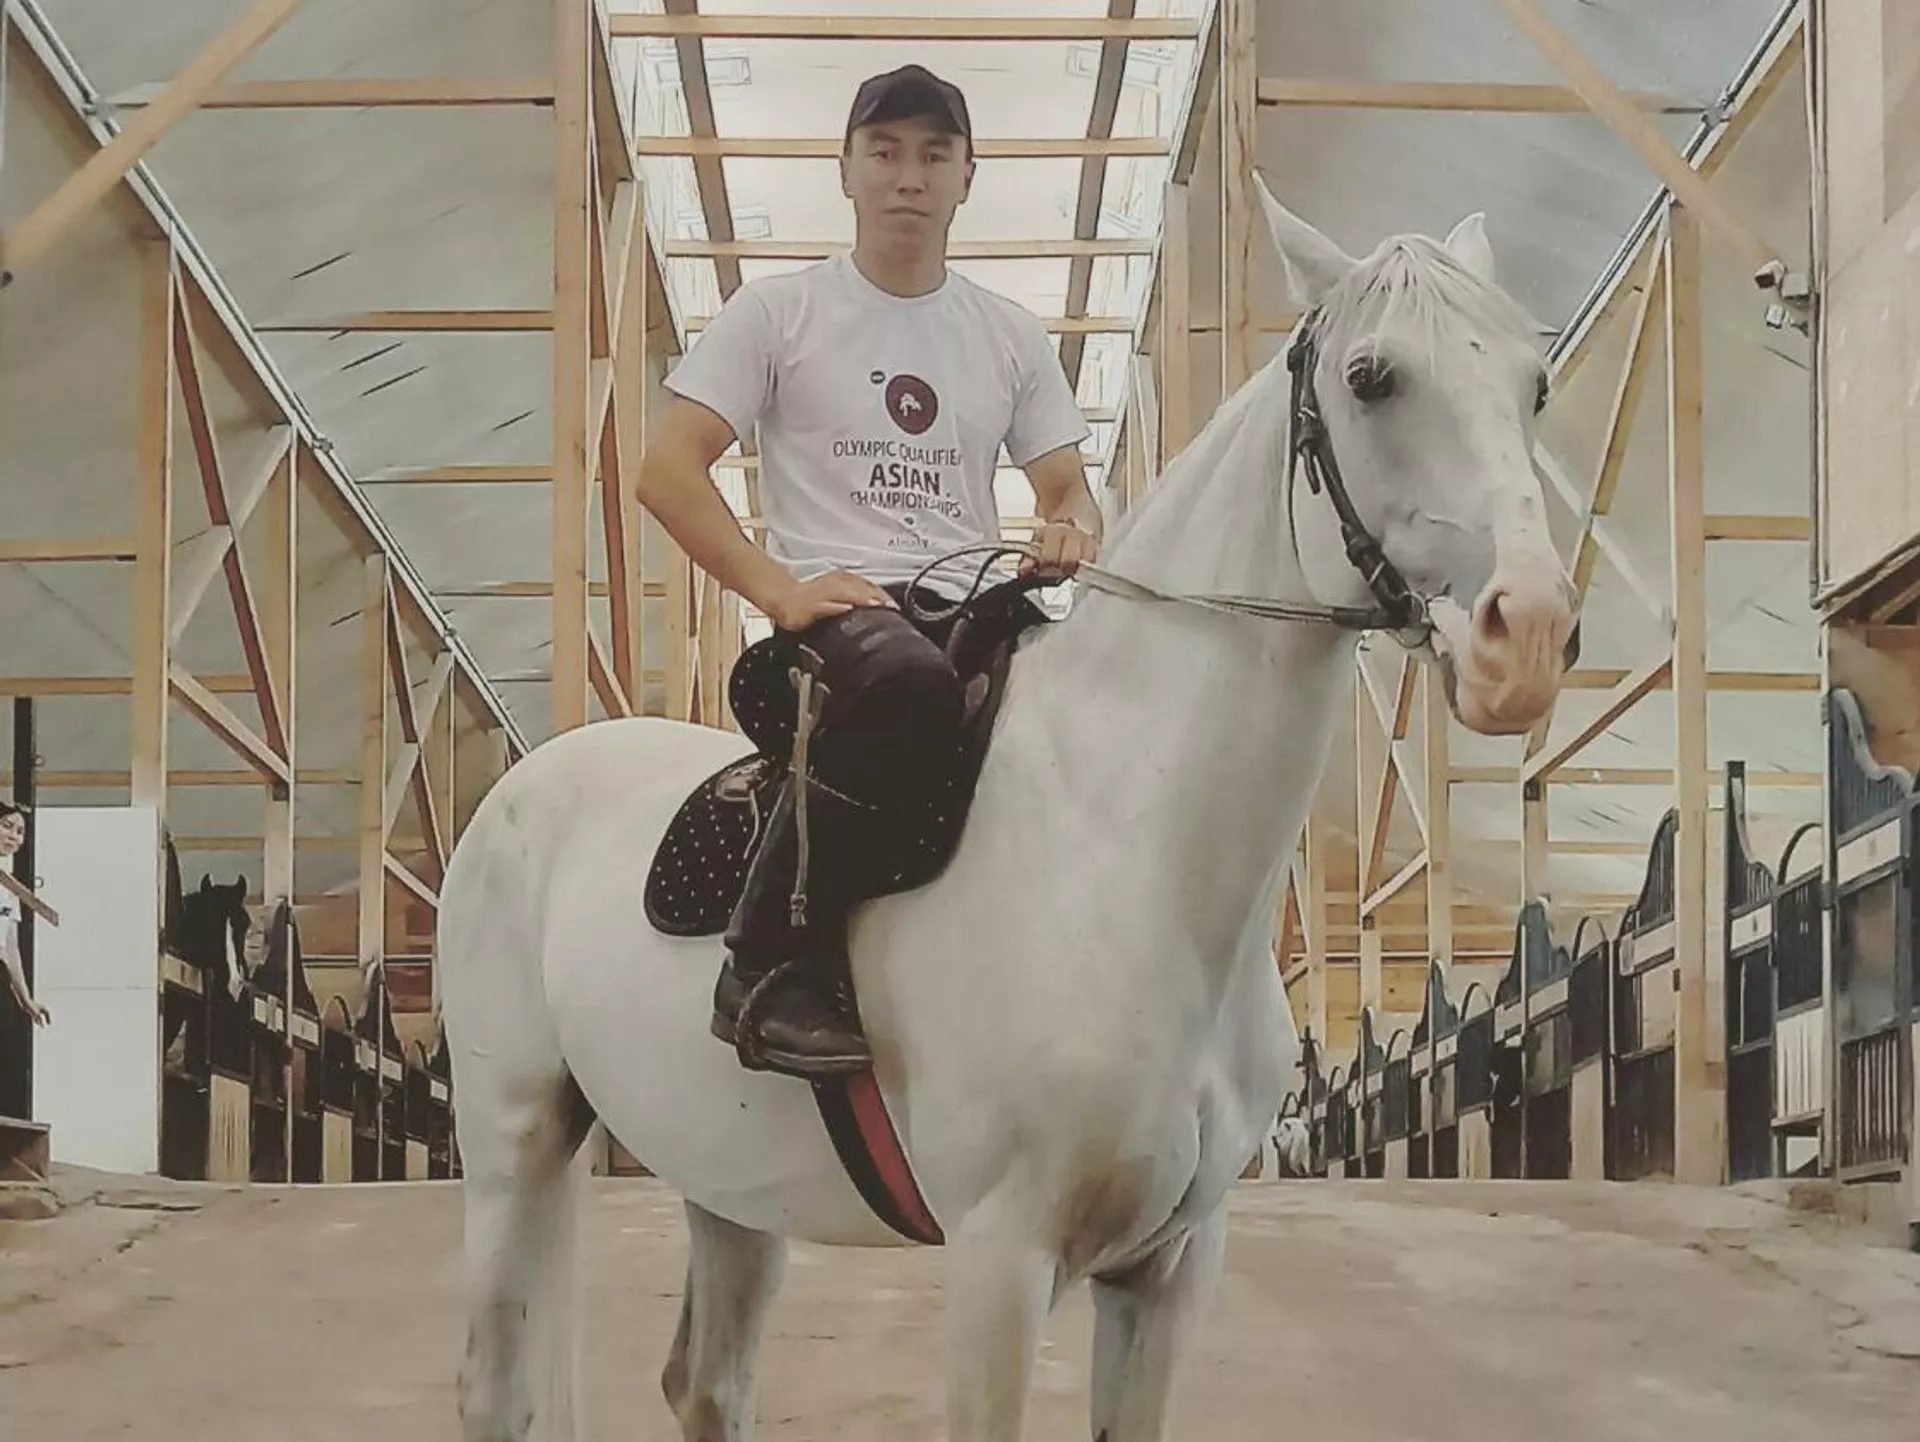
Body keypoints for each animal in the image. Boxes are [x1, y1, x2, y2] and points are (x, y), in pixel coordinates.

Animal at [435, 173, 1579, 1442]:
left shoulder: (1169, 1268)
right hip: (512, 1141)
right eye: (1373, 376)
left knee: (709, 1381)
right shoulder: (1002, 1254)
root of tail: (528, 785)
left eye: (1533, 382)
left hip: (720, 1181)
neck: (1129, 852)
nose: (1526, 636)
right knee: (498, 1387)